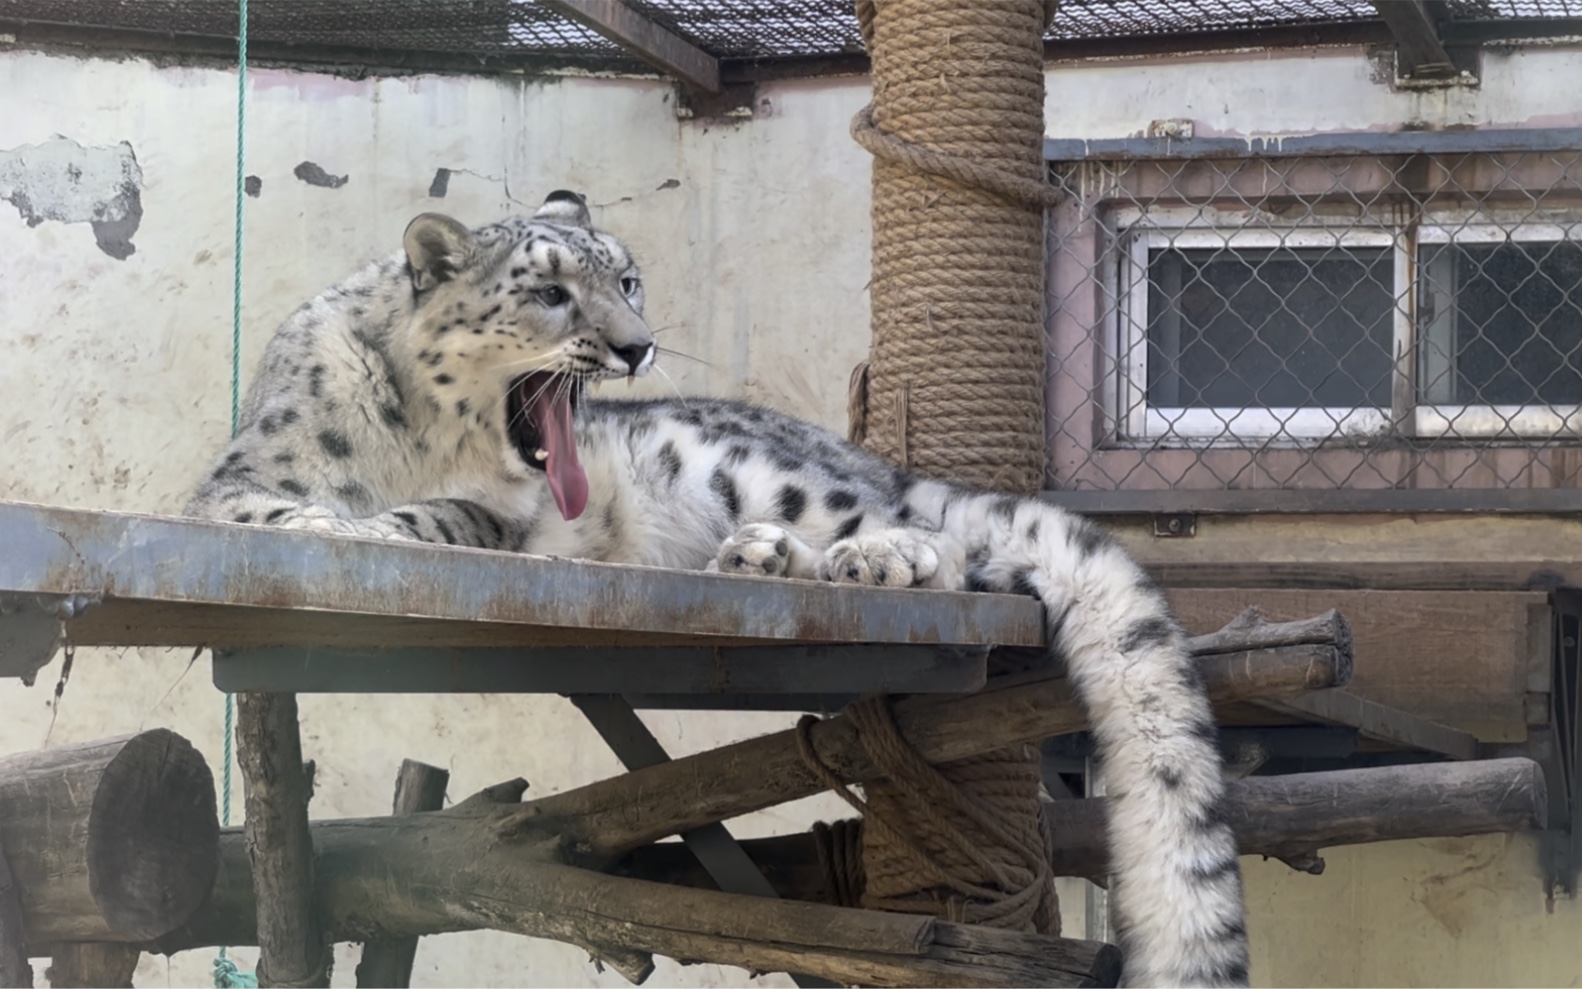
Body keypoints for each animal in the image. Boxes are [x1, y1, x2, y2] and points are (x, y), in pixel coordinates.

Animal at [185, 189, 1246, 981]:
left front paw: (373, 524)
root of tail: (857, 453)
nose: (635, 344)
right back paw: (755, 557)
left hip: (755, 469)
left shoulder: (501, 514)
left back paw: (864, 556)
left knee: (932, 538)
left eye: (625, 278)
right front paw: (329, 522)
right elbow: (258, 512)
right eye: (549, 292)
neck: (424, 439)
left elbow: (441, 517)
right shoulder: (238, 478)